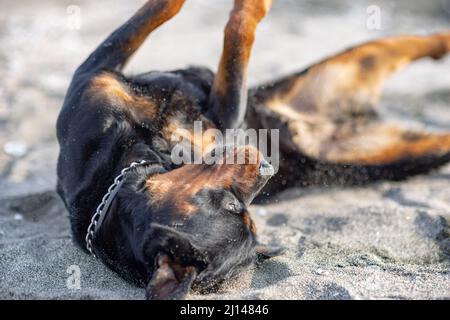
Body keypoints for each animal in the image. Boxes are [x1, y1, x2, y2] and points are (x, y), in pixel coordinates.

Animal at [56, 0, 450, 300]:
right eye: (236, 207)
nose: (268, 168)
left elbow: (181, 17)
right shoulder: (218, 114)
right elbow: (228, 32)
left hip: (350, 64)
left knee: (422, 42)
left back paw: (442, 41)